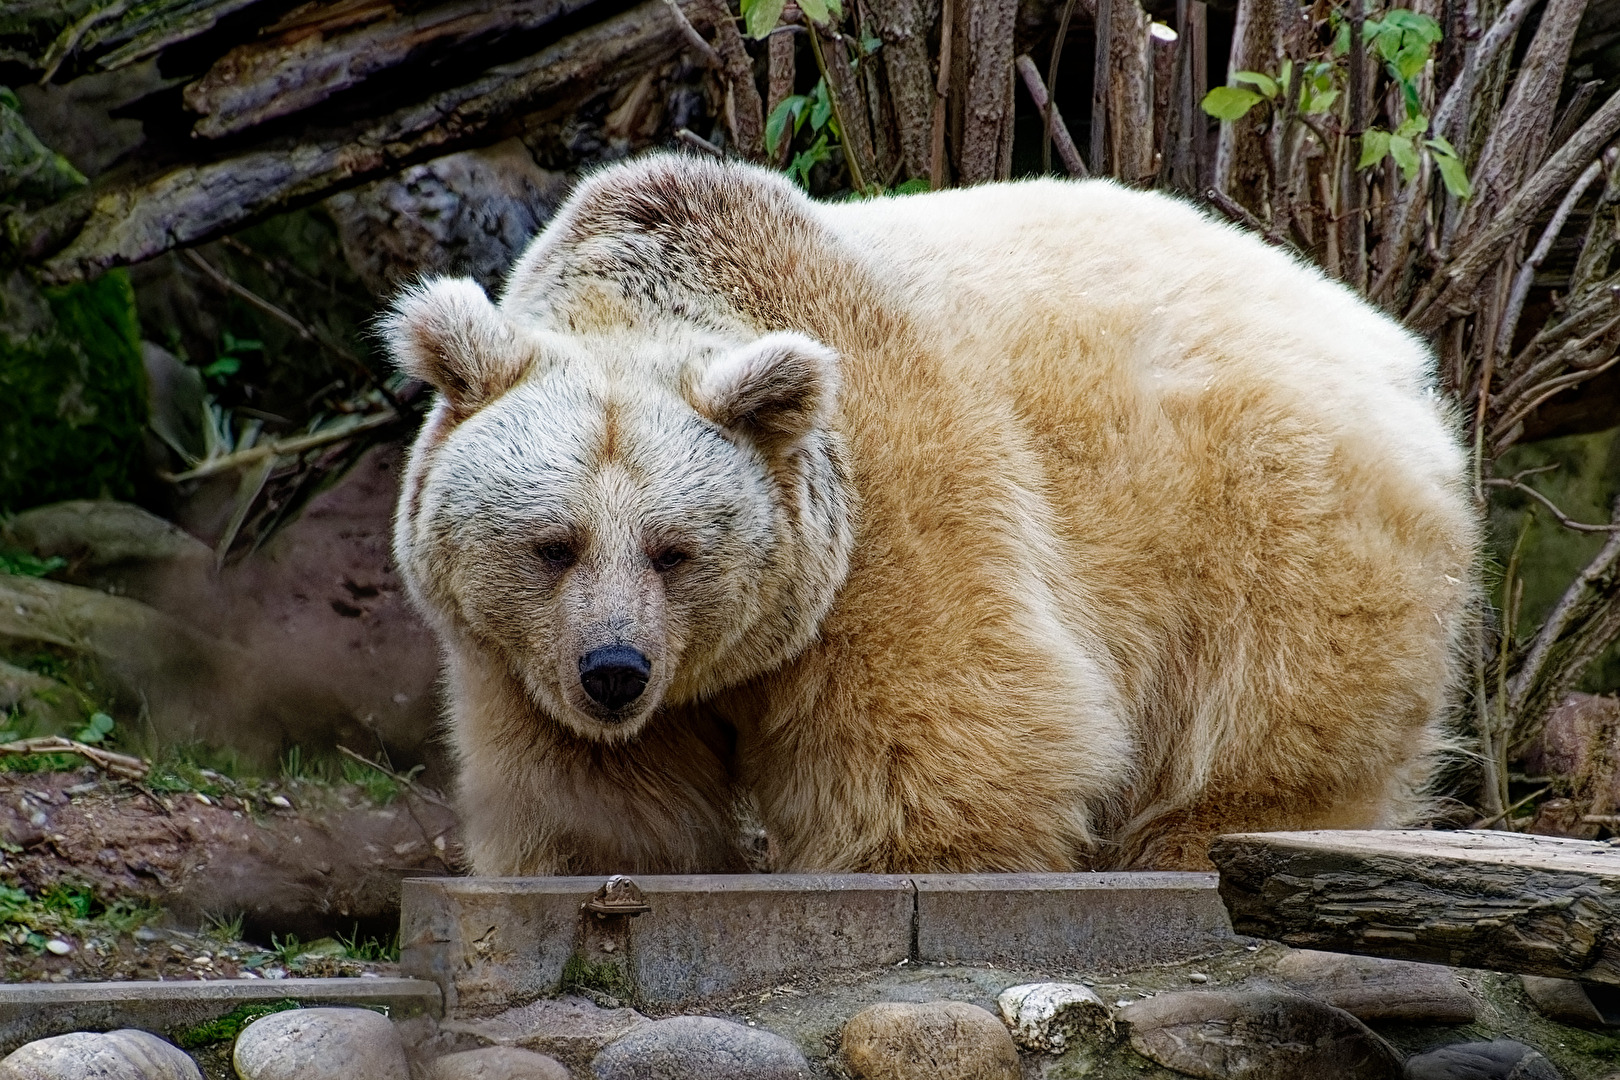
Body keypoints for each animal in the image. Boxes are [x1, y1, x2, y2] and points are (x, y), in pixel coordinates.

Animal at [382, 153, 1483, 880]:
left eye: (674, 550)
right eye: (552, 544)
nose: (614, 671)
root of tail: (1384, 336)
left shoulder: (888, 502)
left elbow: (945, 720)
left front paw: (915, 860)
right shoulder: (517, 658)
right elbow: (582, 787)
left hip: (1273, 505)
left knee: (1279, 706)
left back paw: (1206, 839)